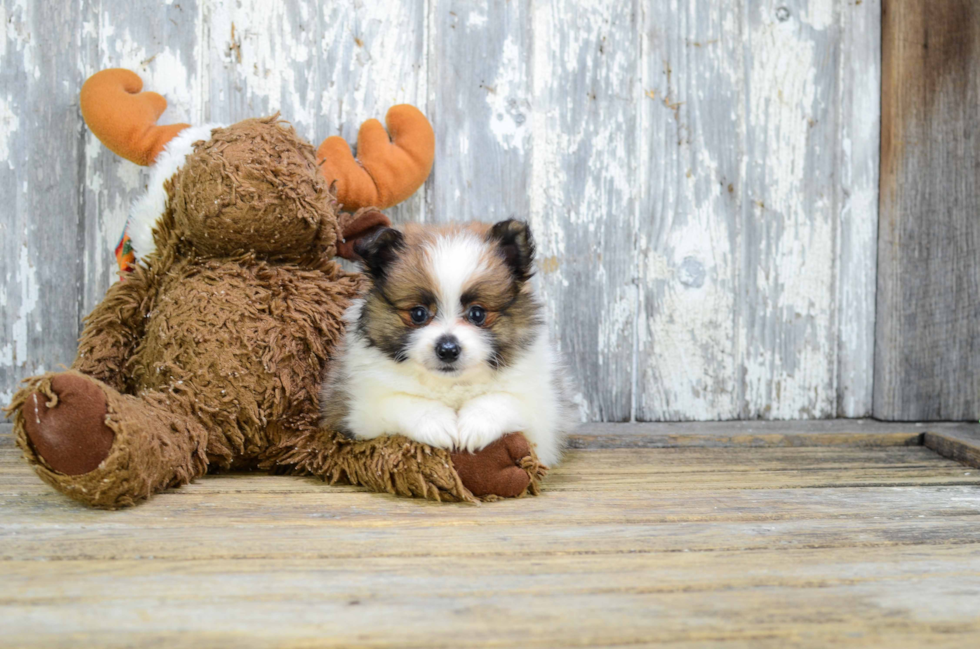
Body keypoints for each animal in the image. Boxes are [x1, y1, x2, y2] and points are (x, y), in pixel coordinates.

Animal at [324, 219, 576, 466]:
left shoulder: (543, 418)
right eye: (418, 314)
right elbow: (399, 401)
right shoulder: (356, 410)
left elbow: (506, 400)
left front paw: (476, 423)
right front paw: (435, 422)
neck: (451, 384)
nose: (447, 350)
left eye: (477, 314)